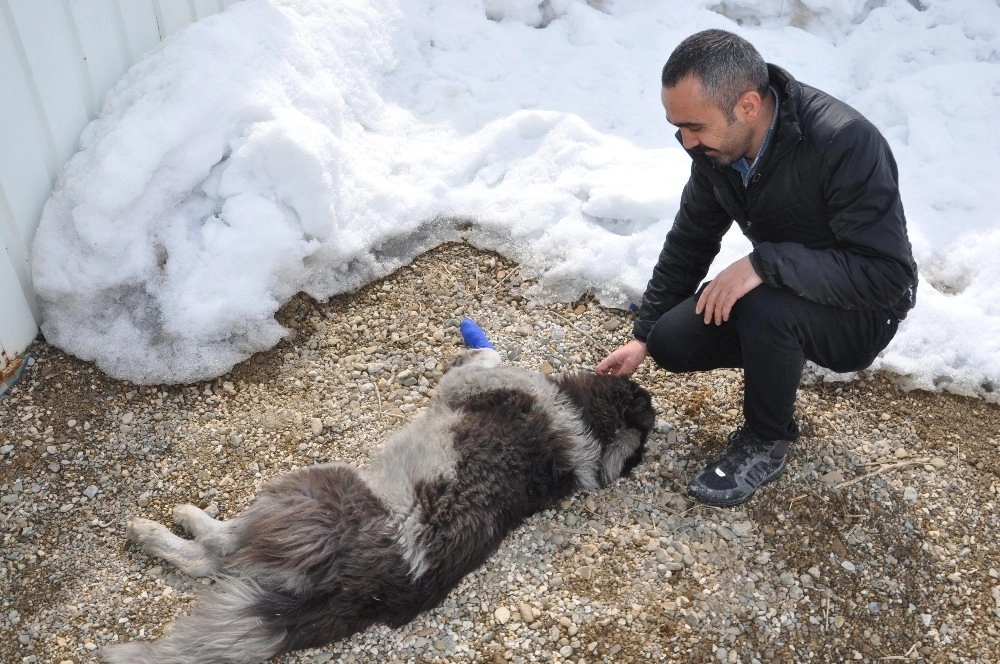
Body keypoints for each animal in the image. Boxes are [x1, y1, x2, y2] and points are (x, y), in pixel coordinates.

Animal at [105, 348, 656, 664]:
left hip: (309, 489)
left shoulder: (468, 386)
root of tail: (365, 587)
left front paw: (475, 347)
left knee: (216, 551)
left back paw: (160, 526)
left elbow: (483, 360)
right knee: (213, 560)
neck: (590, 427)